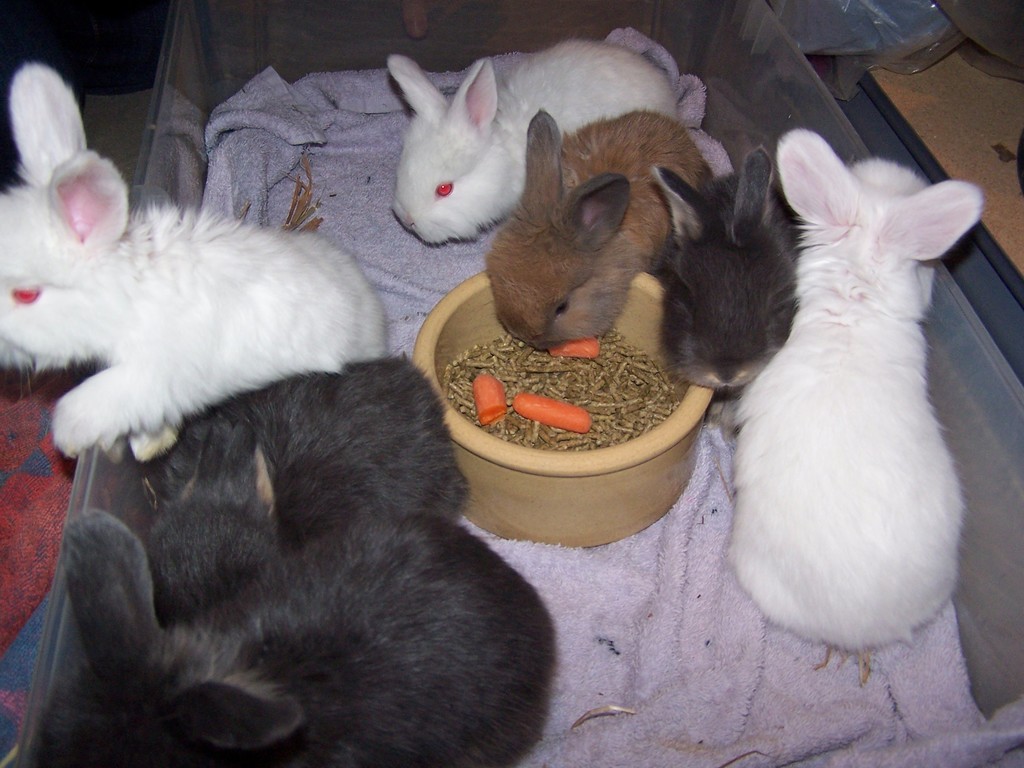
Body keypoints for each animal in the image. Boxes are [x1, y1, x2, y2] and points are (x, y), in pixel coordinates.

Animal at [0, 63, 387, 461]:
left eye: (26, 295)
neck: (125, 293)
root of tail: (375, 310)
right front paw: (147, 446)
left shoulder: (147, 376)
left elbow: (93, 402)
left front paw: (70, 437)